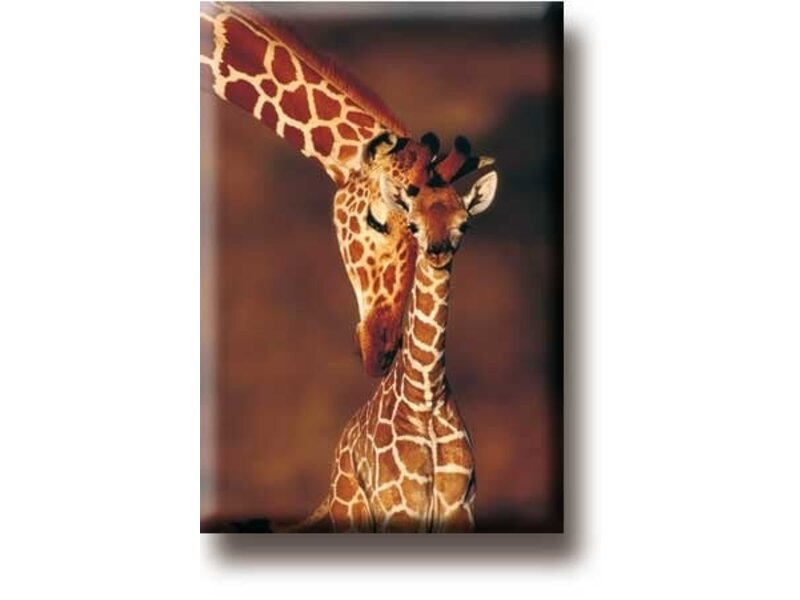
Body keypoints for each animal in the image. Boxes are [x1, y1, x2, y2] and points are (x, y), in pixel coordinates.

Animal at [284, 139, 499, 532]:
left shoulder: (459, 507)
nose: (437, 251)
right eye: (413, 224)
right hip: (351, 512)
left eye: (464, 223)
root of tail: (335, 470)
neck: (426, 395)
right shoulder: (400, 508)